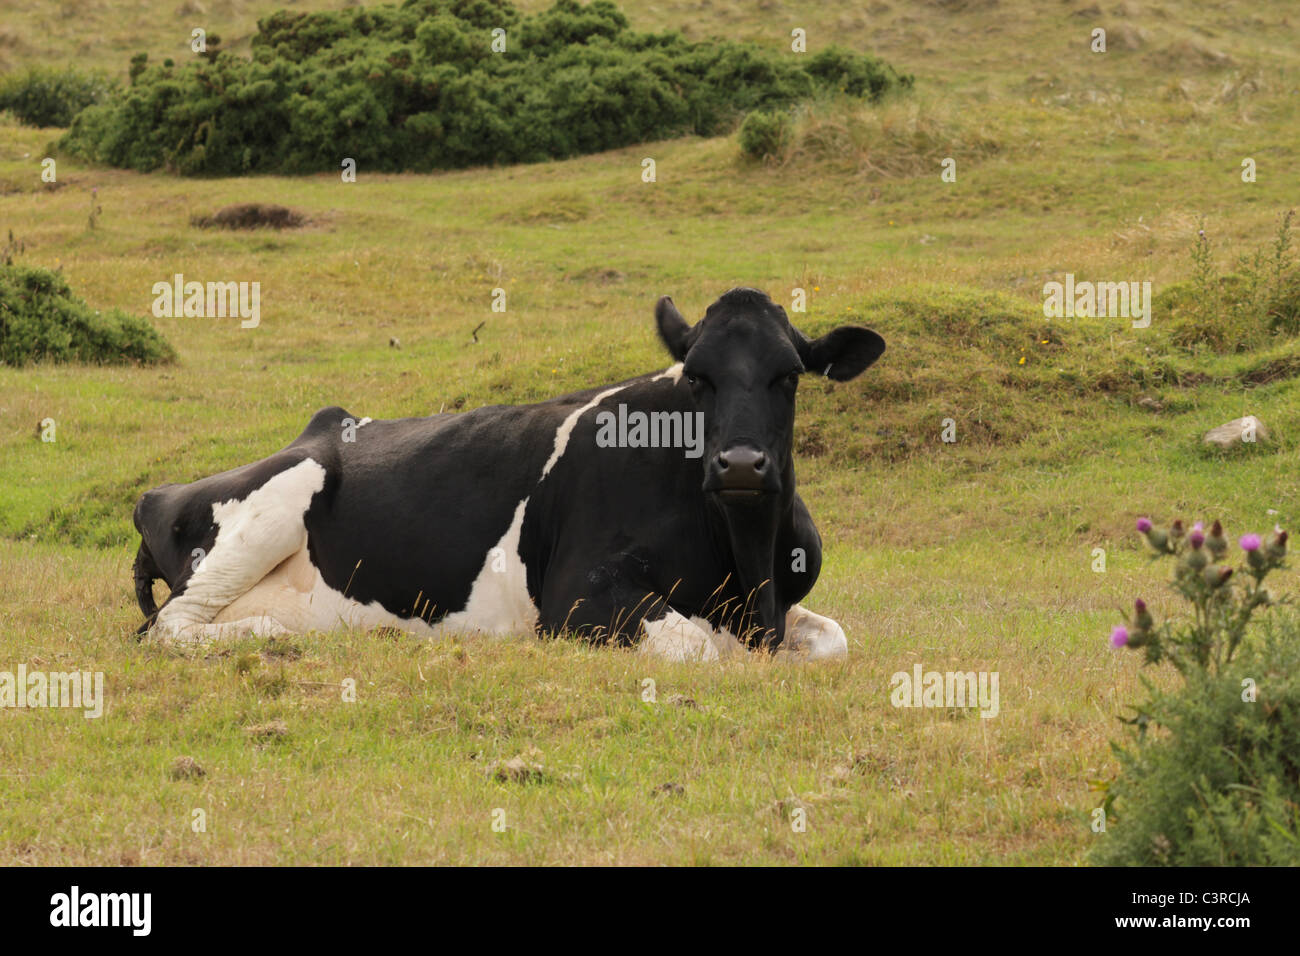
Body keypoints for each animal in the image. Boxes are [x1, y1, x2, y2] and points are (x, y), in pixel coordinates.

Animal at [132, 288, 885, 661]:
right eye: (698, 378)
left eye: (790, 376)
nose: (740, 465)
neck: (745, 567)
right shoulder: (578, 595)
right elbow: (696, 647)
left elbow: (834, 640)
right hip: (277, 502)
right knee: (167, 628)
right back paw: (275, 637)